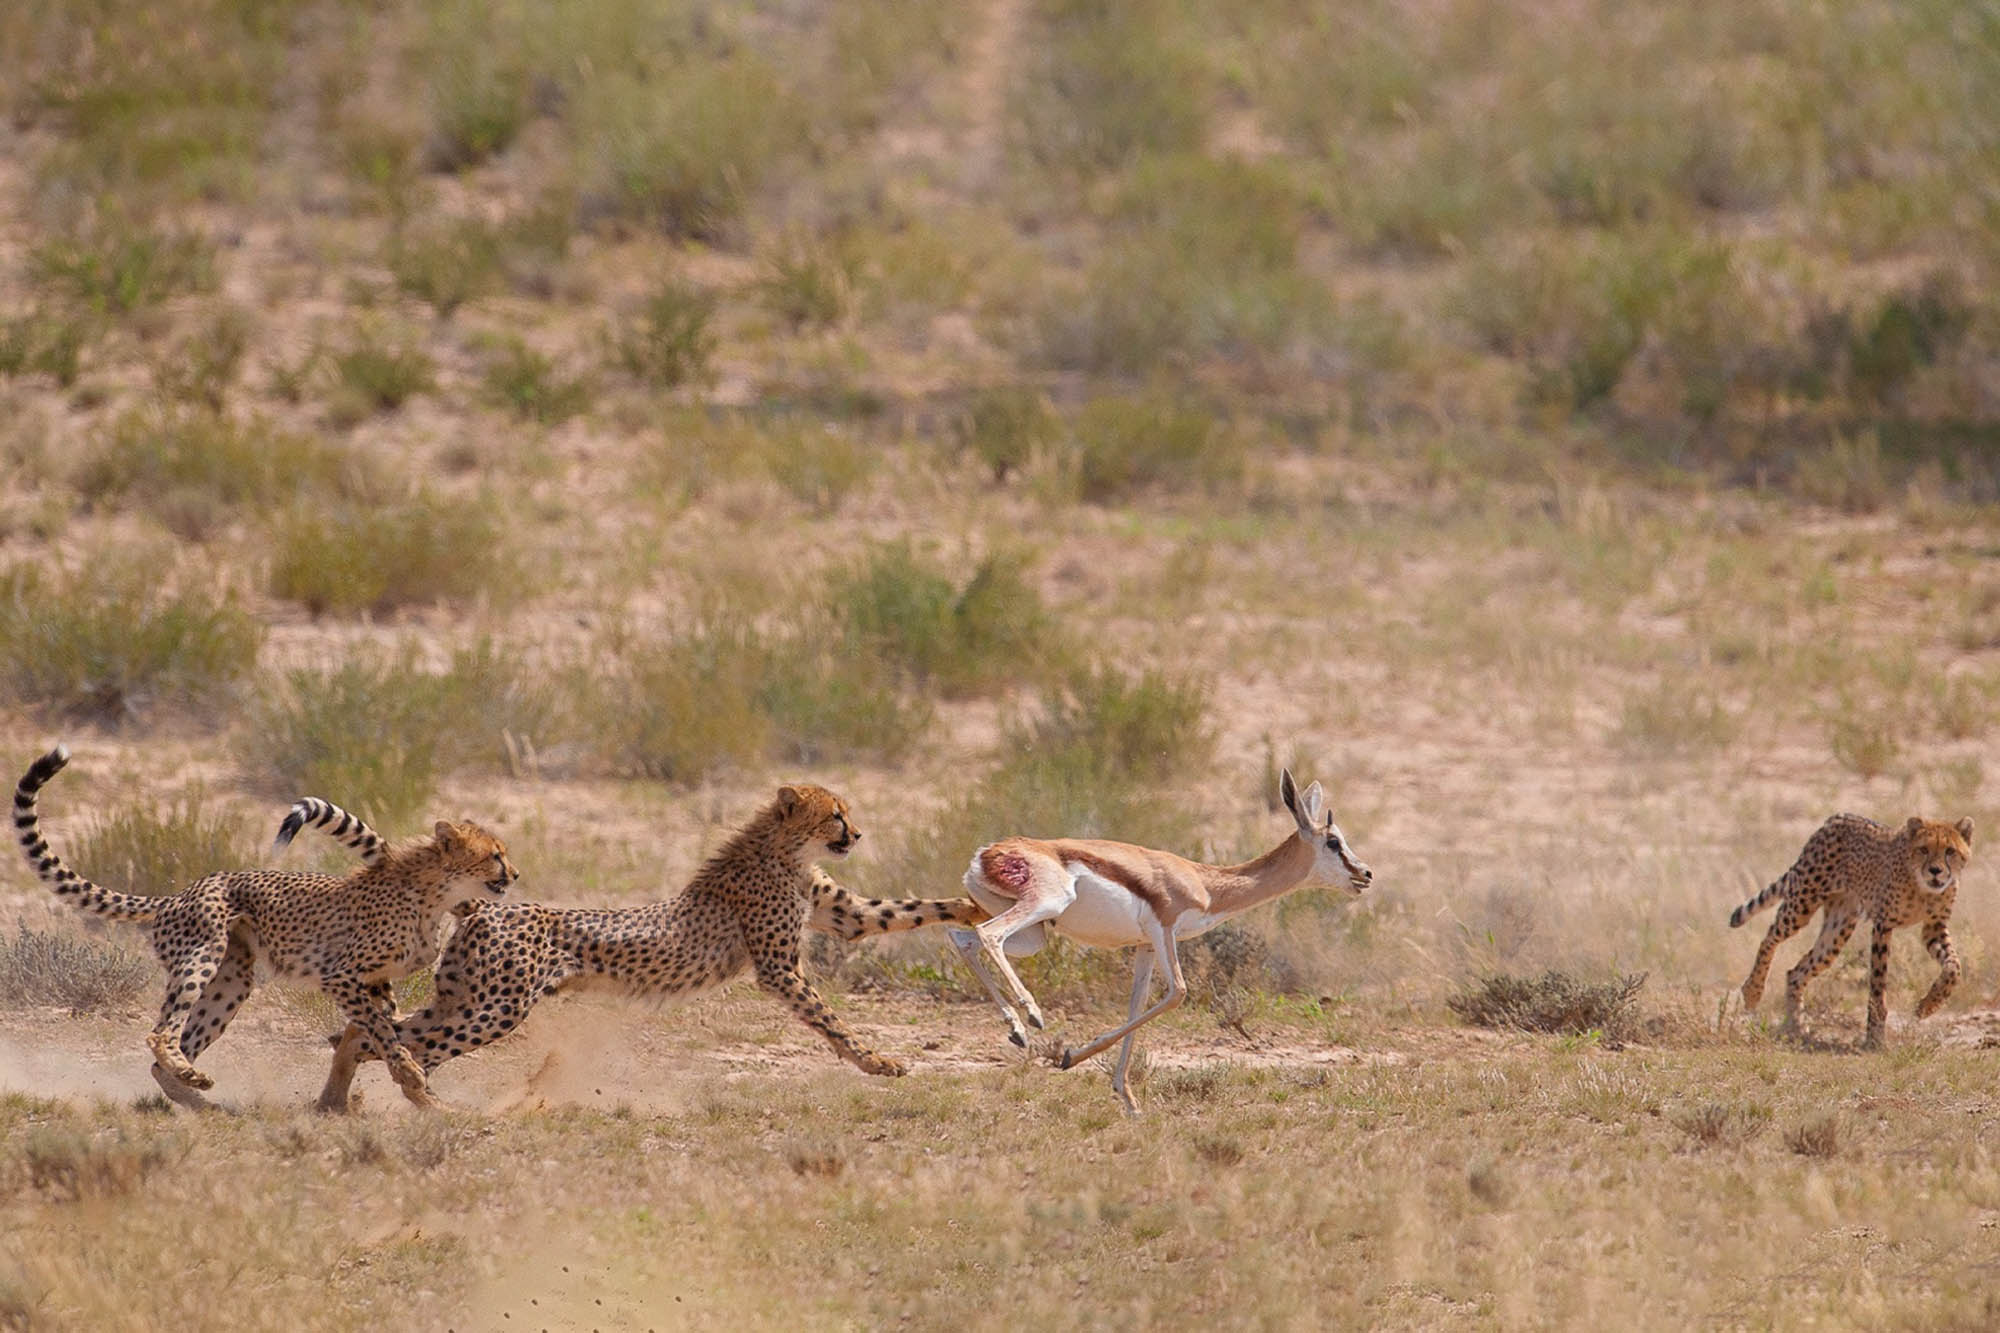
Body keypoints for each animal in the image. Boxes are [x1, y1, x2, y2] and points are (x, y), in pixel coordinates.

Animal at [15, 740, 516, 1104]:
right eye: (495, 855)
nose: (514, 874)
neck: (434, 894)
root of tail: (180, 893)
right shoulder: (341, 976)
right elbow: (381, 1029)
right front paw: (407, 1069)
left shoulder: (375, 982)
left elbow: (383, 1021)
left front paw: (402, 1074)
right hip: (204, 953)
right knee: (159, 1033)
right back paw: (186, 1074)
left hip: (232, 980)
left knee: (170, 1051)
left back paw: (197, 1094)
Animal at [314, 784, 992, 1104]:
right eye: (835, 815)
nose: (856, 834)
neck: (783, 851)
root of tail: (489, 904)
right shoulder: (779, 967)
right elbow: (830, 1019)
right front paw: (876, 1061)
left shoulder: (843, 913)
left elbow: (903, 911)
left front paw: (972, 904)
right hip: (497, 1009)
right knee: (392, 1042)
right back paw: (396, 1096)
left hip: (464, 999)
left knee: (370, 1032)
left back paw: (337, 1104)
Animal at [1728, 808, 1976, 1048]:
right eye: (1924, 849)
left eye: (1950, 851)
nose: (1935, 871)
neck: (1923, 888)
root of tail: (1837, 817)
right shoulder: (1883, 925)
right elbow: (1877, 985)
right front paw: (1875, 1038)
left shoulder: (1934, 927)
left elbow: (1954, 967)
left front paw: (1929, 1006)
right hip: (1802, 902)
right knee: (1769, 938)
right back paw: (1753, 991)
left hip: (1838, 929)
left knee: (1796, 972)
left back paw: (1797, 1028)